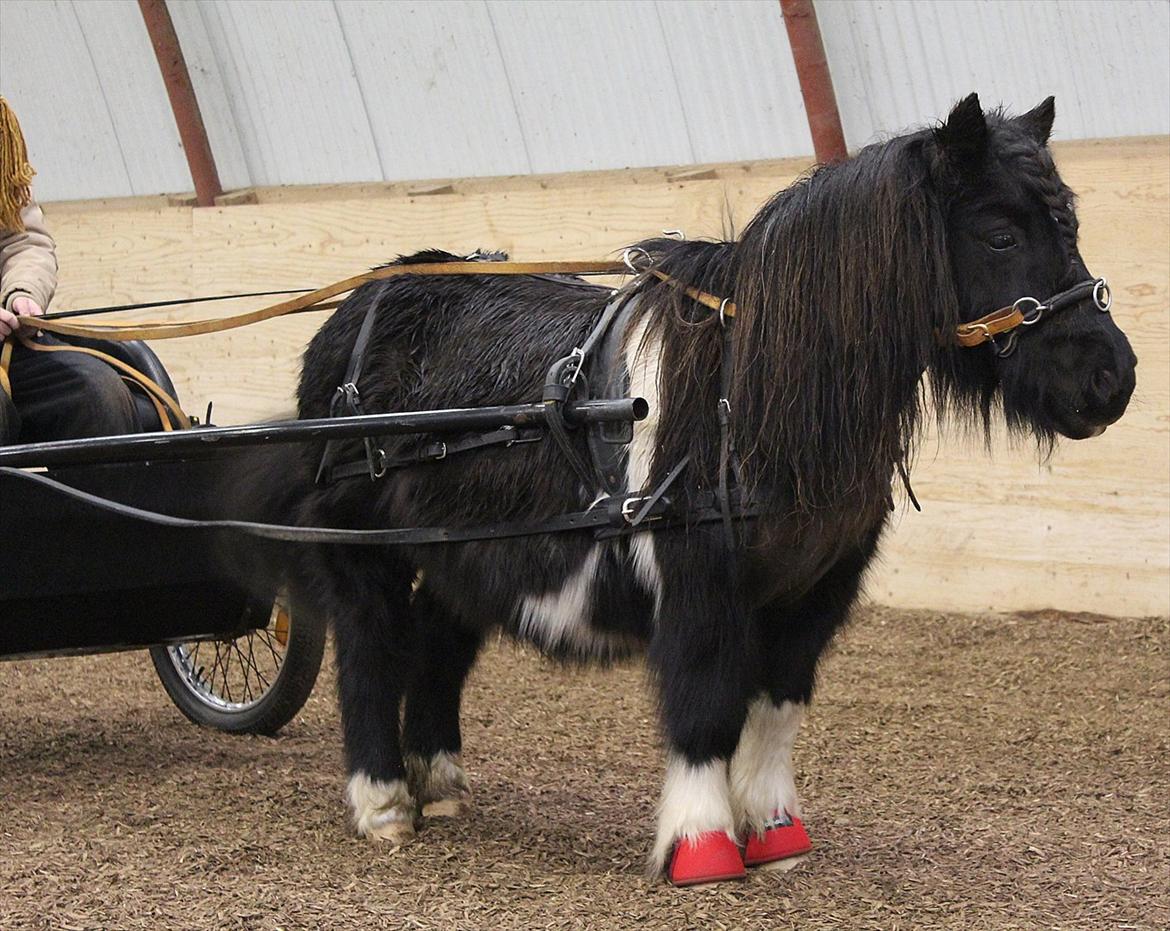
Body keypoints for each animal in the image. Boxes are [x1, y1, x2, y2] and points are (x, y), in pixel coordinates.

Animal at [244, 96, 1132, 888]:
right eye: (1000, 231)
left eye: (1070, 224)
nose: (1111, 378)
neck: (750, 386)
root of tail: (359, 305)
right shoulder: (700, 580)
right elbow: (705, 701)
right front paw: (702, 845)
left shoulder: (814, 592)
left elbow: (775, 710)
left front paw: (775, 834)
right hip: (365, 545)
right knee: (371, 642)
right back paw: (384, 803)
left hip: (463, 547)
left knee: (437, 637)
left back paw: (441, 786)